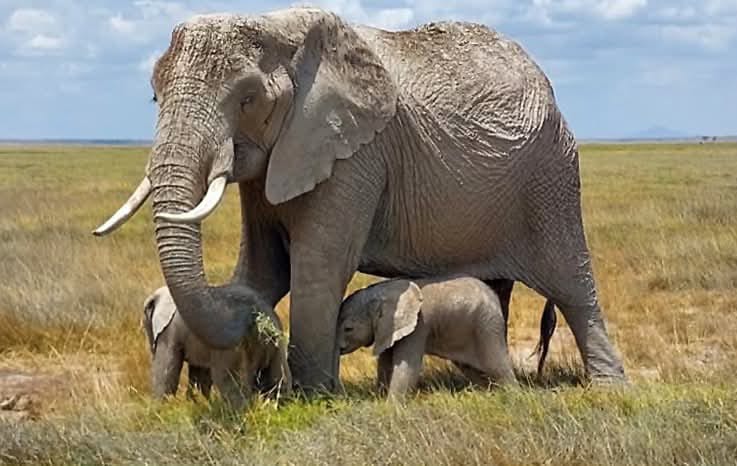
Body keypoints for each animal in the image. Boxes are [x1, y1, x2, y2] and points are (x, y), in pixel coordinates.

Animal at [93, 6, 626, 392]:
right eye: (154, 97)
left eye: (247, 99)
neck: (279, 26)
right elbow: (266, 269)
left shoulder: (355, 154)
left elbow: (317, 267)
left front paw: (313, 397)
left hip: (551, 177)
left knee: (573, 285)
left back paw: (608, 388)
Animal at [142, 285, 291, 407]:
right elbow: (200, 374)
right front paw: (198, 403)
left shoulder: (169, 332)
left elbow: (166, 372)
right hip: (276, 340)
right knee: (278, 378)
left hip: (229, 350)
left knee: (230, 384)